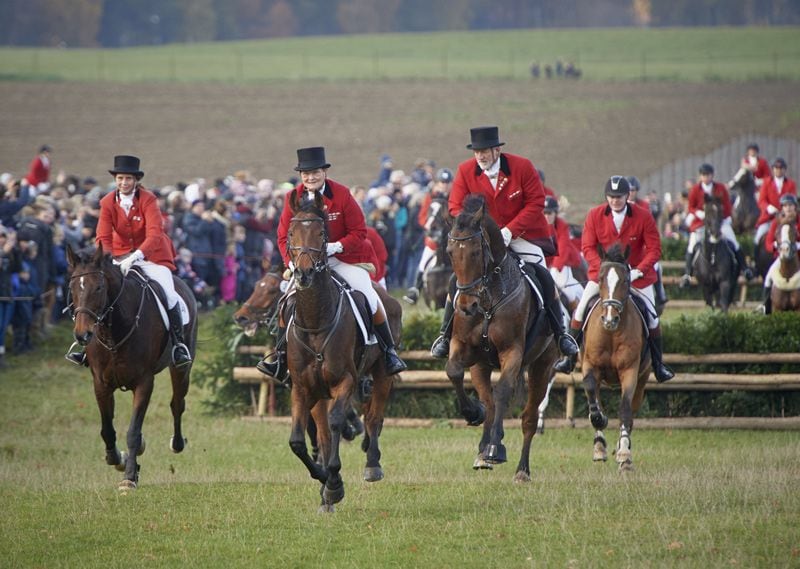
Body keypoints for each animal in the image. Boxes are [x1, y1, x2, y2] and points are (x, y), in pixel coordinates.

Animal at [67, 244, 198, 488]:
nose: (82, 335)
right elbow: (107, 430)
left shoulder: (144, 382)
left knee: (177, 403)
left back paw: (176, 443)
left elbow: (133, 432)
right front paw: (119, 460)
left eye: (99, 287)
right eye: (71, 288)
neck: (114, 330)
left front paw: (128, 478)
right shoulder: (101, 383)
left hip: (181, 368)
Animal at [284, 191, 404, 510]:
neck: (316, 321)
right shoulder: (302, 387)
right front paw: (325, 481)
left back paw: (372, 464)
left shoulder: (345, 380)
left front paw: (334, 481)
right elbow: (299, 441)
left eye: (322, 234)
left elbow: (339, 422)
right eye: (291, 232)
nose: (303, 273)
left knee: (374, 417)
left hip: (382, 374)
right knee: (326, 432)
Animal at [444, 194, 556, 480]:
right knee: (490, 401)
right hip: (481, 365)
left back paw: (520, 469)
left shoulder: (512, 351)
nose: (466, 307)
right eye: (450, 252)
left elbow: (503, 390)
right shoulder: (463, 346)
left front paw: (496, 447)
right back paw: (482, 450)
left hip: (542, 366)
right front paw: (472, 413)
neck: (487, 296)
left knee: (528, 418)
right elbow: (453, 371)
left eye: (476, 252)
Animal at [580, 244, 652, 470]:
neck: (611, 334)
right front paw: (600, 424)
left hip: (642, 379)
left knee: (631, 412)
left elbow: (625, 409)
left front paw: (624, 453)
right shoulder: (590, 366)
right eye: (601, 278)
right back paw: (600, 446)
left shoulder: (630, 371)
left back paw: (623, 444)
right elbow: (593, 403)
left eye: (627, 280)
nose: (610, 319)